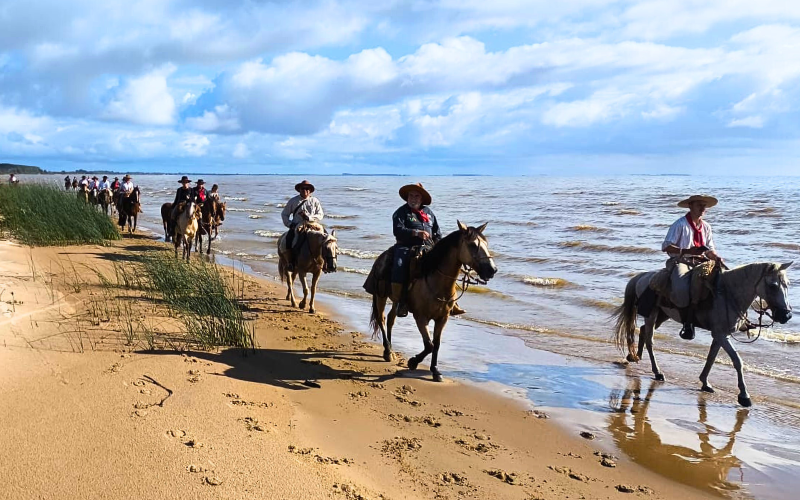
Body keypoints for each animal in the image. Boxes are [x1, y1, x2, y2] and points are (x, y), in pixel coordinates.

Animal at [364, 221, 494, 380]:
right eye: (473, 245)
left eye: (486, 244)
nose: (492, 270)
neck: (435, 281)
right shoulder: (421, 317)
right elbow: (429, 345)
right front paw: (413, 362)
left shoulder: (442, 318)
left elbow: (436, 344)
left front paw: (435, 370)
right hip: (380, 295)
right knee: (381, 318)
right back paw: (388, 351)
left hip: (396, 300)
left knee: (390, 319)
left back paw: (390, 349)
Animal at [612, 262, 792, 406]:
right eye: (773, 285)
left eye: (787, 284)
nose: (787, 315)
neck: (728, 294)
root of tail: (642, 277)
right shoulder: (720, 335)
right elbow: (737, 361)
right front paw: (744, 396)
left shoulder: (721, 335)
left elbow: (711, 358)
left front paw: (705, 382)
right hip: (652, 314)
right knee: (650, 340)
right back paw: (657, 372)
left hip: (662, 315)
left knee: (643, 330)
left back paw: (635, 356)